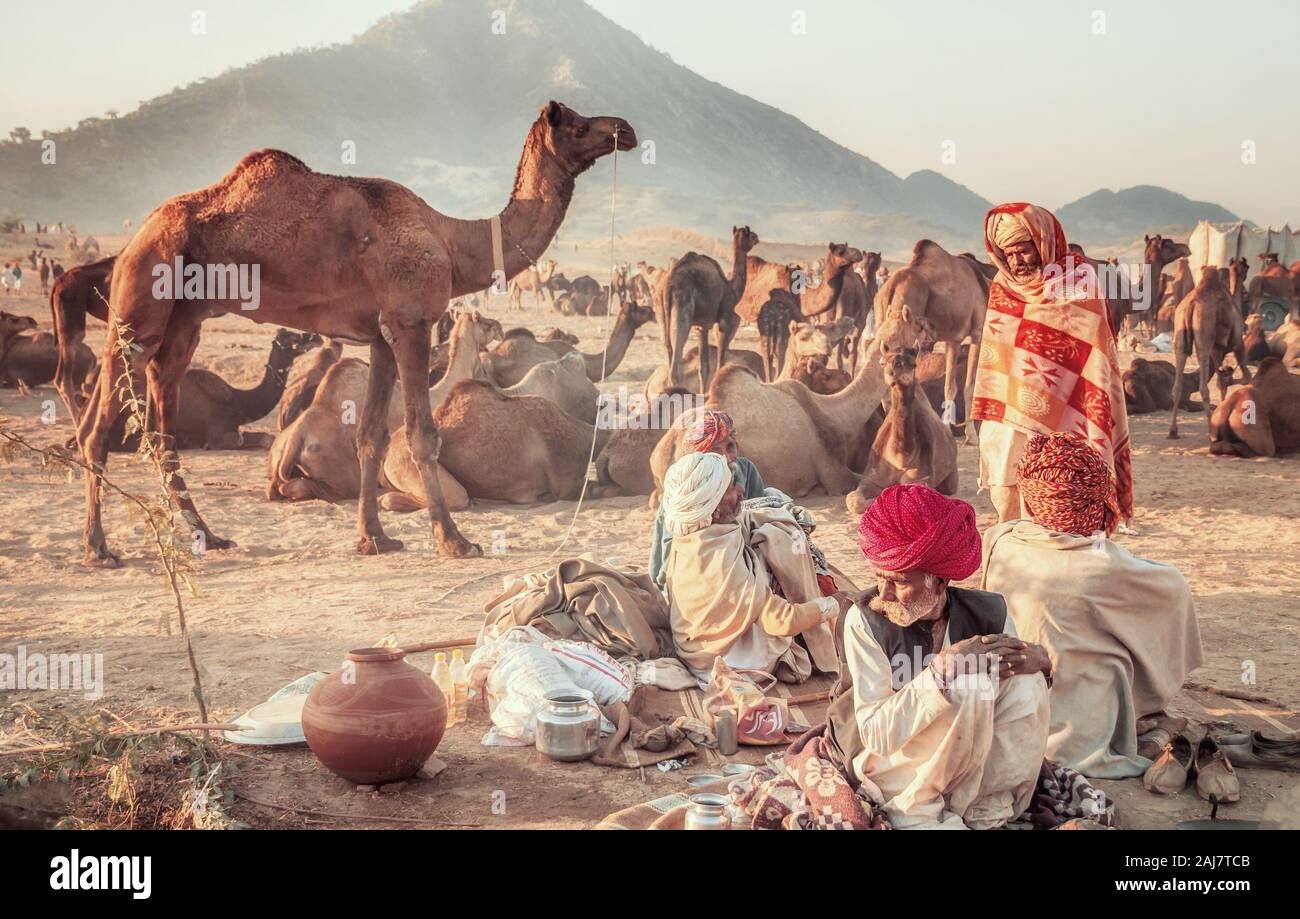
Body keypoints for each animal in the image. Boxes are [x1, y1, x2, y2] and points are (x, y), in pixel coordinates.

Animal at [76, 103, 634, 571]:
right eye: (578, 124)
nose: (624, 130)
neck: (453, 242)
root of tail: (136, 235)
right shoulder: (412, 322)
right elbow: (421, 435)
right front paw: (455, 540)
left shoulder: (381, 336)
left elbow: (371, 435)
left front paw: (375, 538)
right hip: (140, 302)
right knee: (97, 426)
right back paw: (99, 549)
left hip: (183, 322)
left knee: (161, 426)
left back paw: (207, 537)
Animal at [660, 228, 759, 392]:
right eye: (750, 234)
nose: (757, 238)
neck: (730, 288)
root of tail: (669, 285)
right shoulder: (724, 320)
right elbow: (720, 362)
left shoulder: (701, 326)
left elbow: (704, 367)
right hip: (682, 307)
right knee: (677, 352)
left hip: (662, 311)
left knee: (668, 347)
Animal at [847, 337, 961, 514]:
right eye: (882, 362)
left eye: (913, 364)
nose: (893, 372)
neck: (900, 456)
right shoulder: (871, 478)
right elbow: (853, 500)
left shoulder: (921, 478)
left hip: (951, 474)